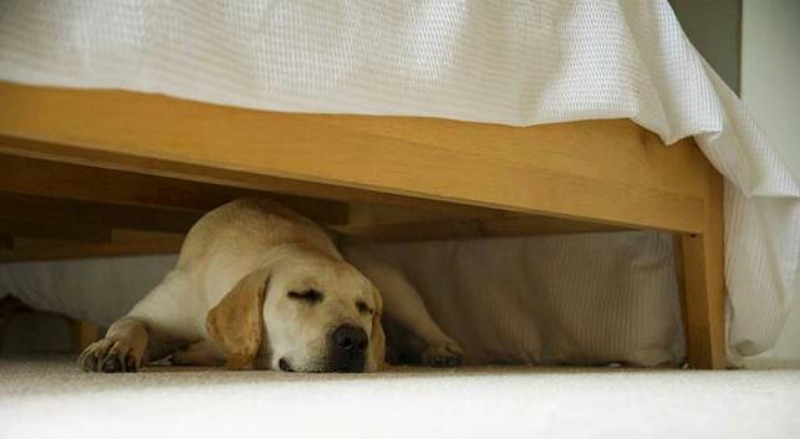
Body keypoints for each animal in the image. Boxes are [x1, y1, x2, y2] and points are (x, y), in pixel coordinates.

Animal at [79, 198, 462, 372]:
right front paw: (113, 345)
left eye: (365, 308)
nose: (355, 340)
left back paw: (440, 349)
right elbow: (130, 323)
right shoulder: (154, 313)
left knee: (427, 325)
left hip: (392, 286)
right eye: (302, 295)